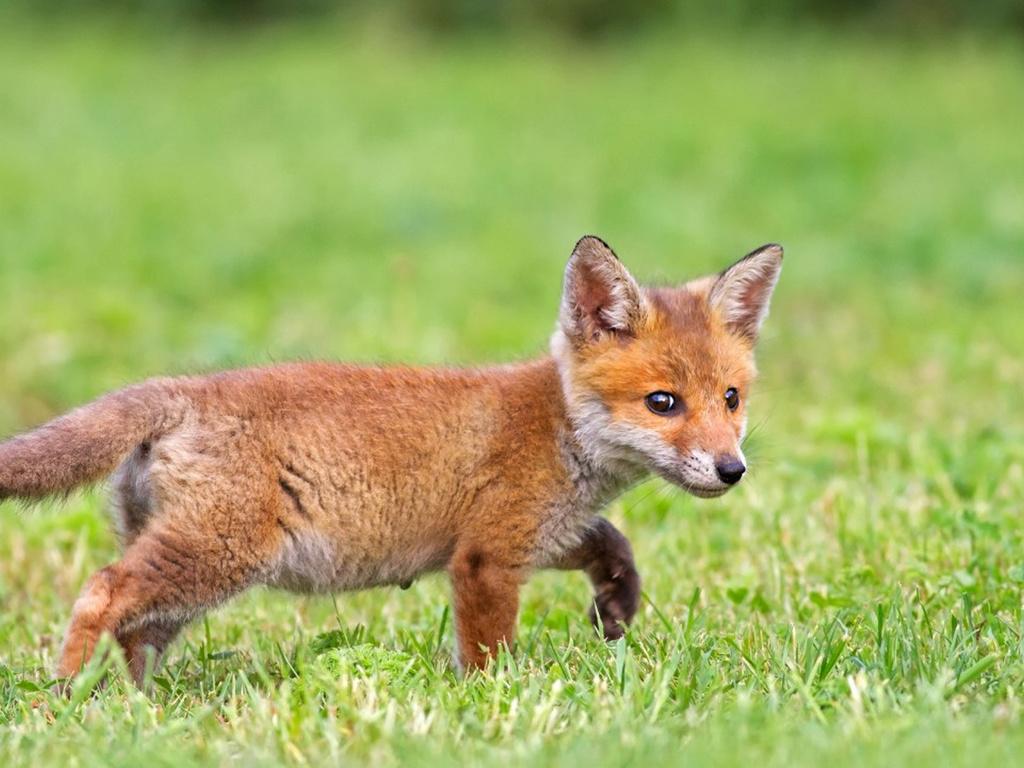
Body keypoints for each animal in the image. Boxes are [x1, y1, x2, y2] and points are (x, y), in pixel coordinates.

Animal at [0, 236, 782, 683]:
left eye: (731, 398)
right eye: (663, 403)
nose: (731, 470)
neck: (557, 426)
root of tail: (181, 389)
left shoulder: (537, 533)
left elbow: (611, 544)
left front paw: (616, 606)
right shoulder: (486, 557)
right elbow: (488, 654)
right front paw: (494, 705)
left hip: (189, 575)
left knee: (135, 630)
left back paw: (138, 708)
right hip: (214, 555)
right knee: (101, 592)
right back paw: (67, 697)